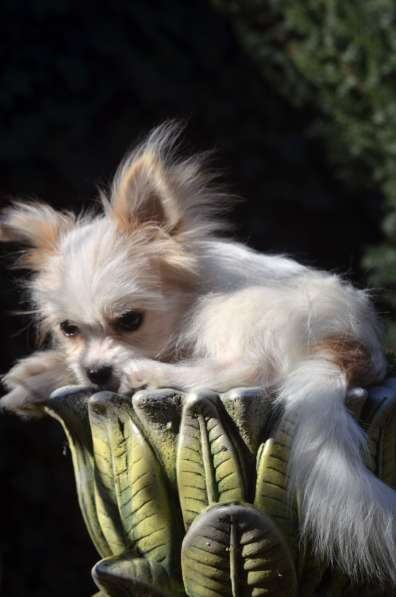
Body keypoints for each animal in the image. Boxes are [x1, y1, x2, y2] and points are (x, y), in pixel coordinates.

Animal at [0, 121, 396, 584]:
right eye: (69, 329)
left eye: (130, 320)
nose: (97, 373)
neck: (190, 283)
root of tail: (351, 347)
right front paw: (33, 381)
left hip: (225, 314)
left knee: (248, 371)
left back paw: (149, 373)